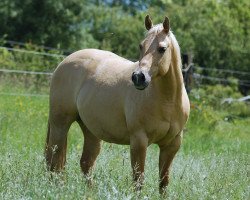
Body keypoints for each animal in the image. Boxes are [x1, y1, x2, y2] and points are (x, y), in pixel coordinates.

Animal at [44, 14, 189, 193]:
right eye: (141, 46)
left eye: (162, 48)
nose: (138, 77)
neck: (168, 101)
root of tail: (65, 61)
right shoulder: (139, 141)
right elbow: (138, 180)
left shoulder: (171, 145)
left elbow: (164, 183)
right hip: (60, 124)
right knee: (55, 161)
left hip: (90, 130)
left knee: (85, 163)